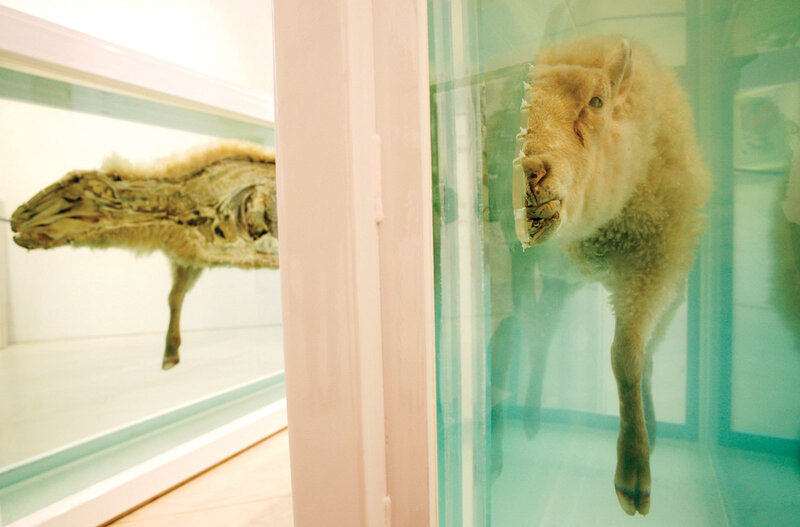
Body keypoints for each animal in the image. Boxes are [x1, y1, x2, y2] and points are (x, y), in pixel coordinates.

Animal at [511, 35, 712, 515]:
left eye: (597, 101)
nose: (532, 172)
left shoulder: (652, 267)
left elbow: (625, 357)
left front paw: (634, 472)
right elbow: (542, 330)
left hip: (669, 290)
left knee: (649, 353)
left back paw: (652, 426)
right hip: (562, 283)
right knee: (542, 336)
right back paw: (531, 415)